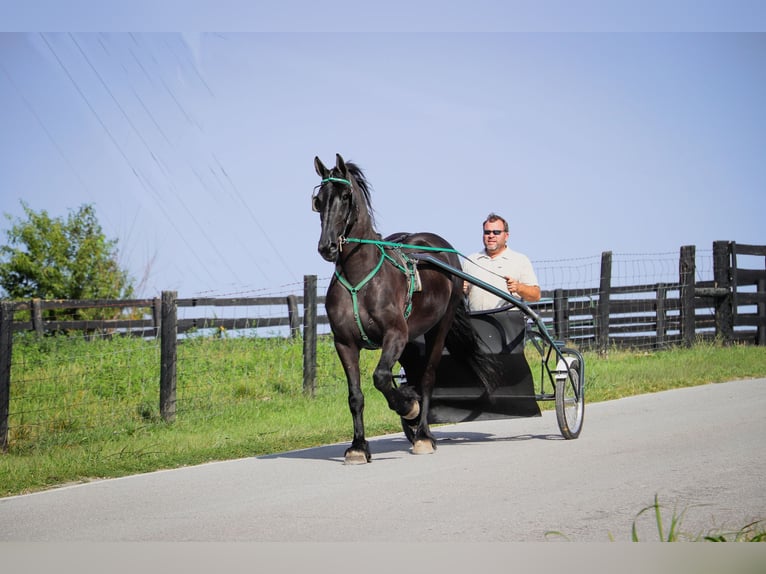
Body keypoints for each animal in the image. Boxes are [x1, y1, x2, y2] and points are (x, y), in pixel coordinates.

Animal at [312, 153, 500, 464]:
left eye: (346, 196)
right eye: (318, 200)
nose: (326, 246)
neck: (359, 279)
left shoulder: (395, 334)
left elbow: (381, 378)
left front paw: (409, 407)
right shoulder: (345, 343)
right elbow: (356, 395)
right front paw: (358, 446)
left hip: (439, 326)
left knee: (427, 378)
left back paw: (422, 434)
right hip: (413, 338)